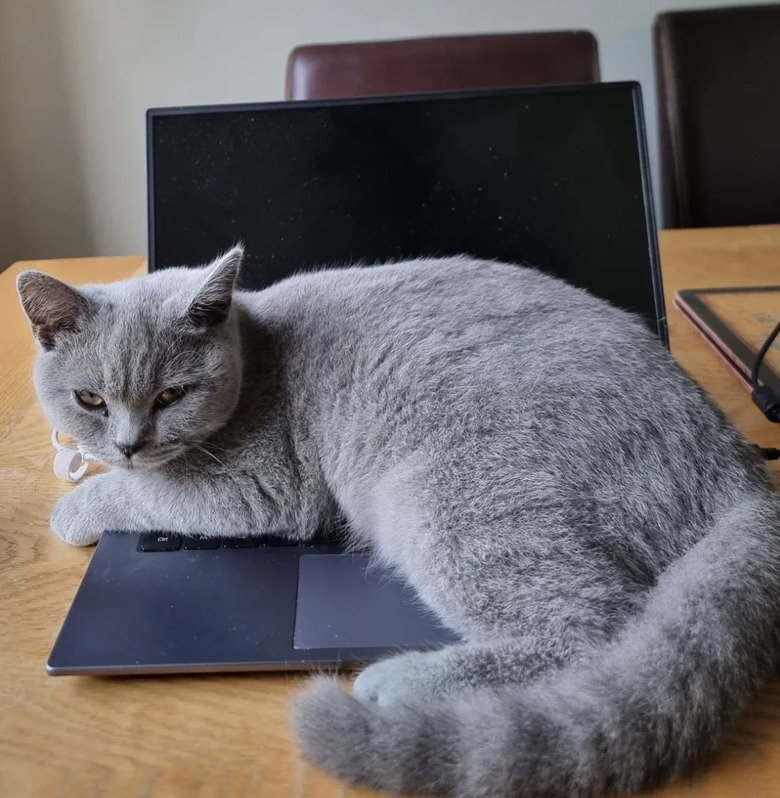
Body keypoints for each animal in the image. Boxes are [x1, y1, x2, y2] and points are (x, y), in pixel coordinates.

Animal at [15, 248, 780, 798]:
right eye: (89, 399)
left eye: (172, 394)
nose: (127, 443)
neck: (255, 358)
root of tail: (741, 473)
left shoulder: (260, 488)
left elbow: (151, 490)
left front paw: (81, 504)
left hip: (451, 499)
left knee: (602, 626)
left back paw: (400, 682)